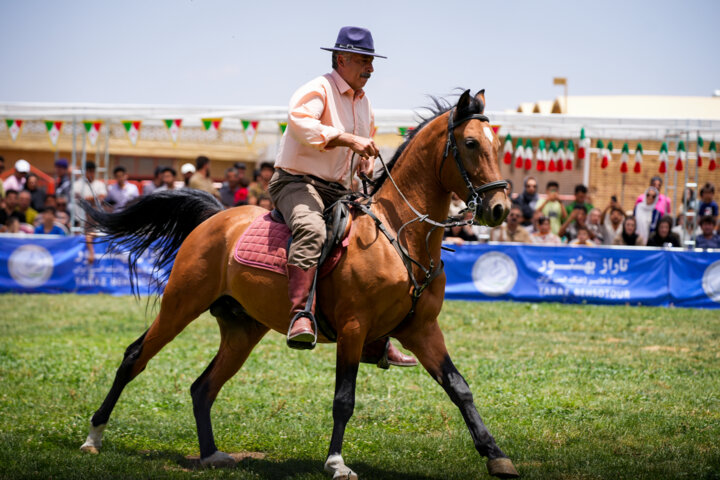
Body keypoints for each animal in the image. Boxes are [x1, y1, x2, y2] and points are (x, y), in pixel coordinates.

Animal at [79, 89, 516, 476]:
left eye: (498, 145)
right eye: (471, 143)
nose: (498, 209)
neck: (399, 233)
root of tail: (216, 216)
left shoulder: (422, 329)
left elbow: (459, 387)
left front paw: (496, 456)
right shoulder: (354, 329)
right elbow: (344, 399)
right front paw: (336, 463)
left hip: (242, 330)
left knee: (203, 387)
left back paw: (211, 454)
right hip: (180, 306)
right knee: (135, 357)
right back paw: (94, 437)